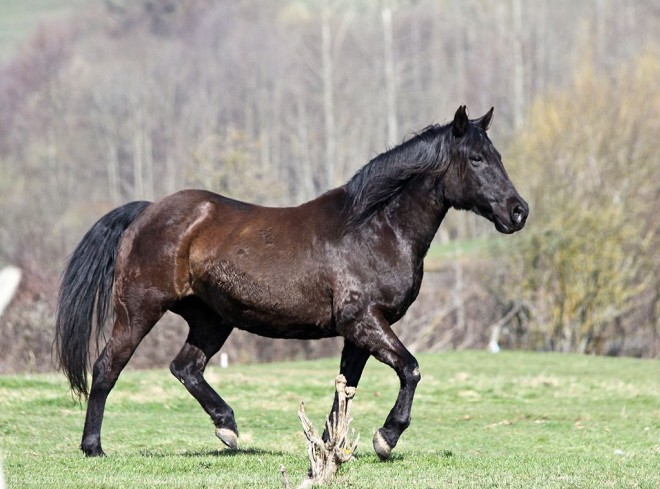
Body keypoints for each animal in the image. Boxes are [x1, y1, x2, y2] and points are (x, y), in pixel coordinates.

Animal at [54, 105, 528, 460]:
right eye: (477, 159)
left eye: (499, 157)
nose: (519, 211)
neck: (375, 227)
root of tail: (147, 211)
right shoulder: (364, 322)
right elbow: (409, 369)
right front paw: (385, 437)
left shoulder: (358, 331)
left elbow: (345, 389)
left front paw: (329, 445)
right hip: (139, 310)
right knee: (107, 368)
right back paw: (93, 447)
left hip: (211, 319)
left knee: (185, 367)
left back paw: (228, 429)